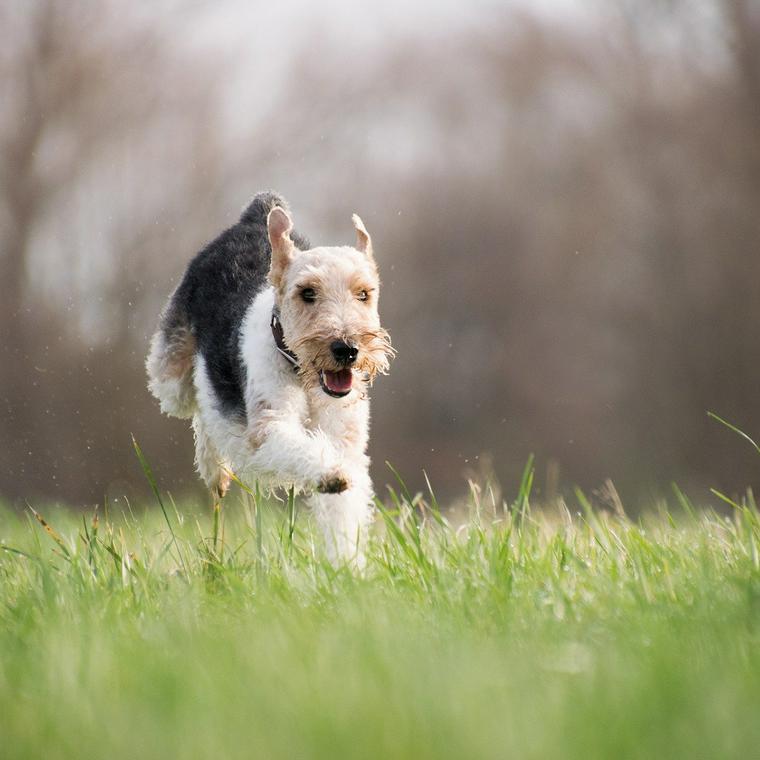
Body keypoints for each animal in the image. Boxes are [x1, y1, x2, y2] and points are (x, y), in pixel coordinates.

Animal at [146, 193, 392, 568]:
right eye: (307, 292)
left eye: (364, 293)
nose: (347, 349)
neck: (304, 377)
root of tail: (255, 214)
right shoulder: (269, 426)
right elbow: (298, 448)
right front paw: (330, 475)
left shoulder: (346, 441)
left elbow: (344, 512)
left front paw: (348, 568)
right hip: (171, 379)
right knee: (201, 405)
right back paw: (215, 471)